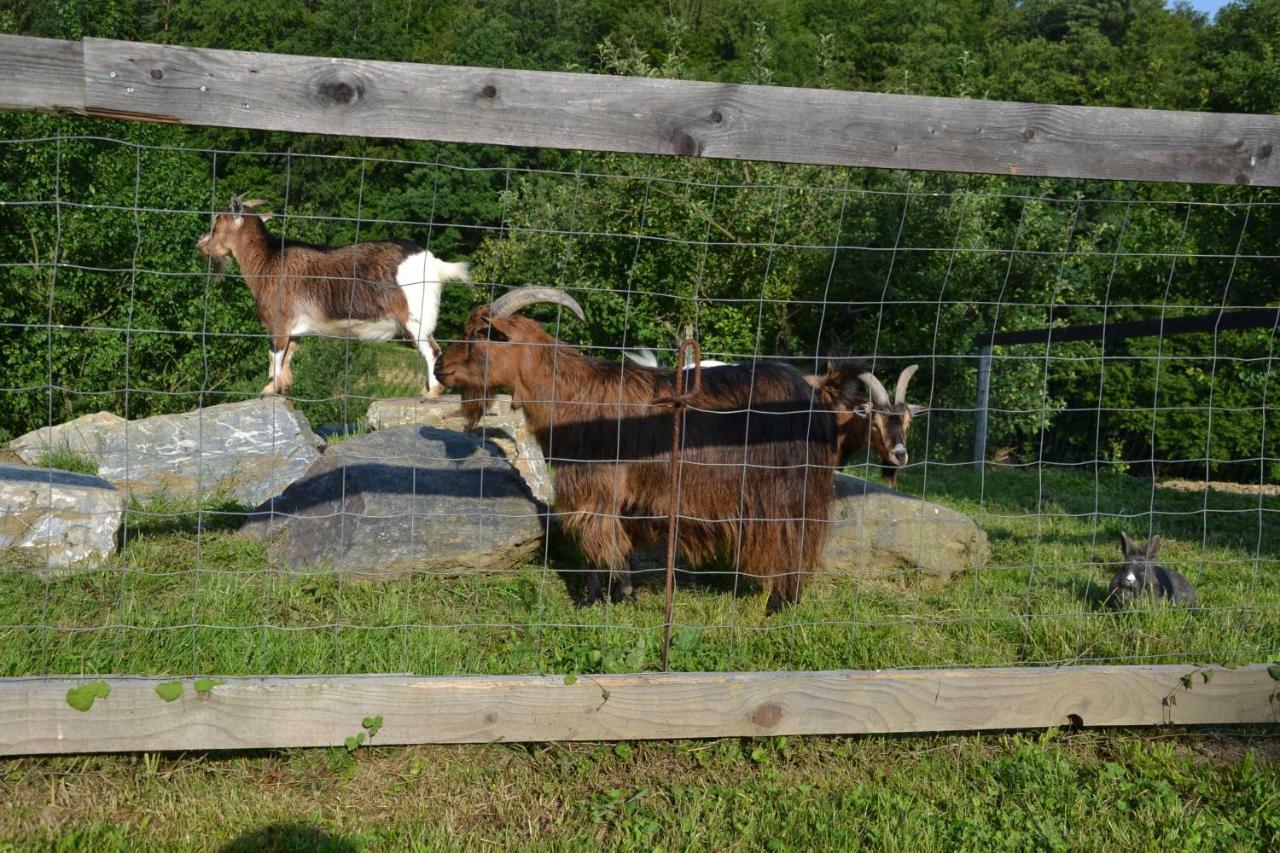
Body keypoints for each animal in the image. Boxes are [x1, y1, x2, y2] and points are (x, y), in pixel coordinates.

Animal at [202, 195, 473, 399]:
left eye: (217, 220)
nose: (201, 245)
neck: (267, 260)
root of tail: (434, 263)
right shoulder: (295, 329)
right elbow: (288, 357)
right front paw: (282, 387)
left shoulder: (278, 323)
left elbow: (274, 356)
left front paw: (269, 389)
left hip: (414, 317)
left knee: (432, 351)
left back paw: (431, 392)